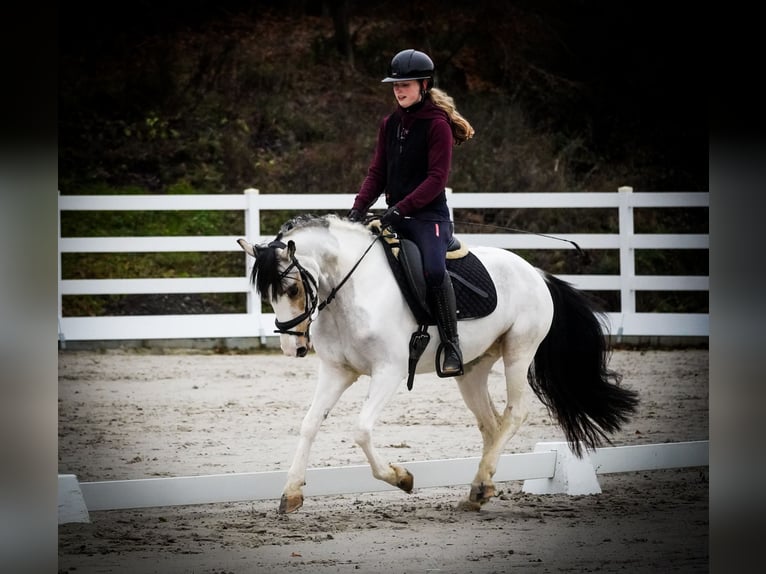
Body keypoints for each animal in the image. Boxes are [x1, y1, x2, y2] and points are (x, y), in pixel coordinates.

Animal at [237, 214, 638, 514]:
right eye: (267, 294)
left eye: (292, 288)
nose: (292, 348)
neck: (353, 290)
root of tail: (536, 273)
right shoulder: (337, 372)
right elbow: (309, 425)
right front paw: (291, 493)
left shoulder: (389, 372)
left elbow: (361, 430)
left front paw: (401, 478)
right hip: (472, 370)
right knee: (491, 424)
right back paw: (481, 488)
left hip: (518, 352)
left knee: (514, 413)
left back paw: (480, 485)